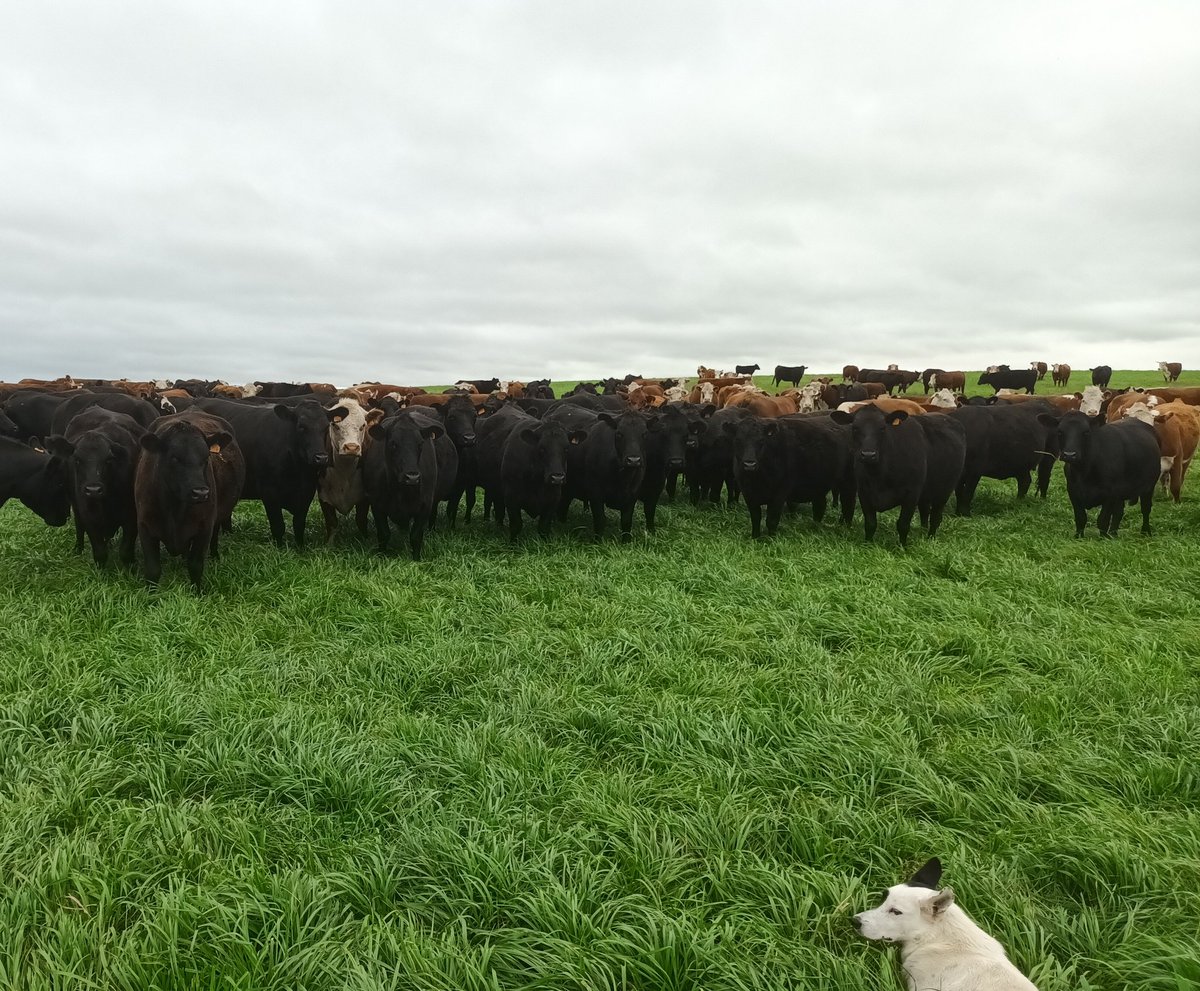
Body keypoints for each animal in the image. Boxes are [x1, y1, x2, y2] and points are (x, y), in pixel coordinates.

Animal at [45, 408, 145, 567]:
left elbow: (125, 551)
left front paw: (131, 568)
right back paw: (78, 549)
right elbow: (100, 552)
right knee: (79, 527)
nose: (93, 490)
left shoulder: (131, 516)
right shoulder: (89, 516)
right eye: (77, 459)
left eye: (109, 459)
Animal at [134, 413, 242, 591]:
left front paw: (197, 592)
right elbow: (152, 568)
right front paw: (151, 594)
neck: (174, 509)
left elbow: (195, 565)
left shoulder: (204, 528)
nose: (201, 492)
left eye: (206, 457)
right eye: (174, 458)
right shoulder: (145, 525)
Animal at [195, 398, 333, 548]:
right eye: (301, 426)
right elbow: (278, 525)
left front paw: (300, 548)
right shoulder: (269, 492)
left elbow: (299, 524)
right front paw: (279, 548)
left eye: (327, 427)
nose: (321, 458)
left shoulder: (307, 492)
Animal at [727, 414, 856, 538]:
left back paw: (845, 526)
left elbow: (771, 520)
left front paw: (771, 539)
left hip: (848, 481)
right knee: (820, 506)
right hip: (819, 484)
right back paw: (816, 526)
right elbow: (755, 519)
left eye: (761, 441)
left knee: (848, 503)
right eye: (737, 440)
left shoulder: (779, 493)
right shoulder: (748, 494)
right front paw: (755, 537)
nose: (749, 463)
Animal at [829, 406, 966, 545]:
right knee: (925, 512)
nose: (868, 455)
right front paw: (868, 544)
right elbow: (870, 523)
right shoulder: (864, 493)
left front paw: (902, 546)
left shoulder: (912, 494)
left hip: (944, 491)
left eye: (882, 428)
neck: (879, 476)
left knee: (935, 517)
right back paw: (922, 532)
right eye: (855, 428)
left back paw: (930, 538)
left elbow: (903, 524)